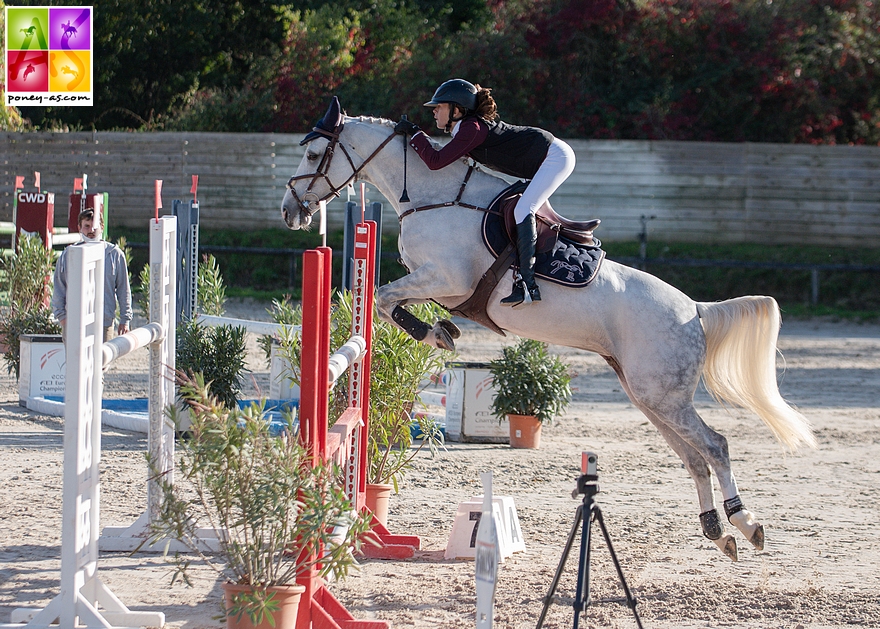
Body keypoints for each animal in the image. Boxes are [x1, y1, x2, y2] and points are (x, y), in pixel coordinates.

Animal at [284, 98, 820, 560]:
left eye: (312, 153)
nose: (291, 212)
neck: (434, 198)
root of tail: (695, 309)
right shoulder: (437, 285)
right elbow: (389, 301)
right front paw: (440, 331)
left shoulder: (447, 279)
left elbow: (381, 297)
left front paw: (436, 334)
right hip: (652, 397)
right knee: (694, 458)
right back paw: (716, 531)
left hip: (663, 396)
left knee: (715, 447)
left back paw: (745, 523)